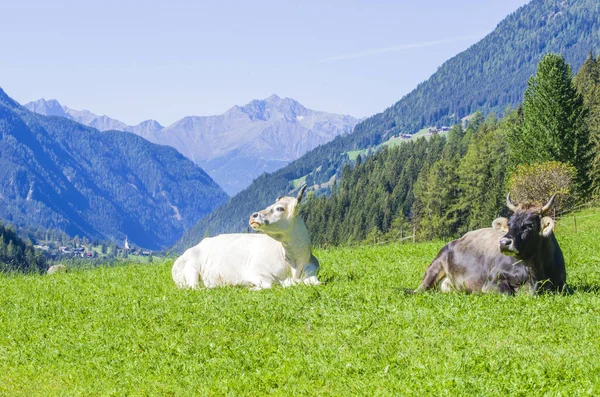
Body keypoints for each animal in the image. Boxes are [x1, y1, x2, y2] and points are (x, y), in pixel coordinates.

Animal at [171, 184, 322, 290]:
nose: (253, 215)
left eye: (280, 208)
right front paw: (251, 287)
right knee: (195, 287)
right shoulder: (254, 272)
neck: (295, 264)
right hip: (192, 268)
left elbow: (317, 283)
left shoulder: (312, 272)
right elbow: (270, 284)